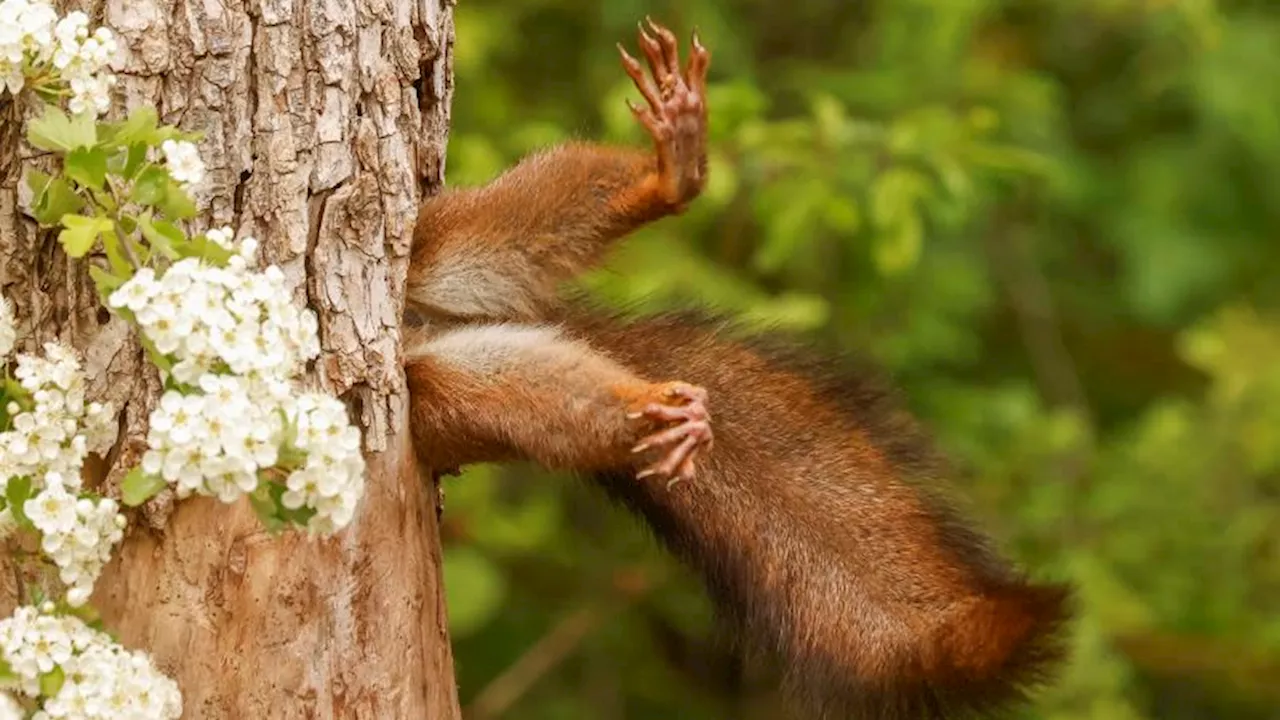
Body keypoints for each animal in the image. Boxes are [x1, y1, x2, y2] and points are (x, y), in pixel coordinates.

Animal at [399, 18, 1070, 717]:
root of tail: (425, 329)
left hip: (440, 240)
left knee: (517, 219)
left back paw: (672, 172)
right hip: (448, 394)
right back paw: (655, 416)